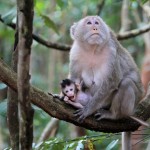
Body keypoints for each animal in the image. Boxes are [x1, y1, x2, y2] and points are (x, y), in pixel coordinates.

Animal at [69, 15, 144, 150]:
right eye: (89, 23)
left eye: (97, 22)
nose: (95, 27)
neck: (92, 49)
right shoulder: (75, 53)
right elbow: (75, 79)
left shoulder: (111, 51)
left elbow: (112, 81)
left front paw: (88, 109)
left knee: (126, 83)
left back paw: (114, 115)